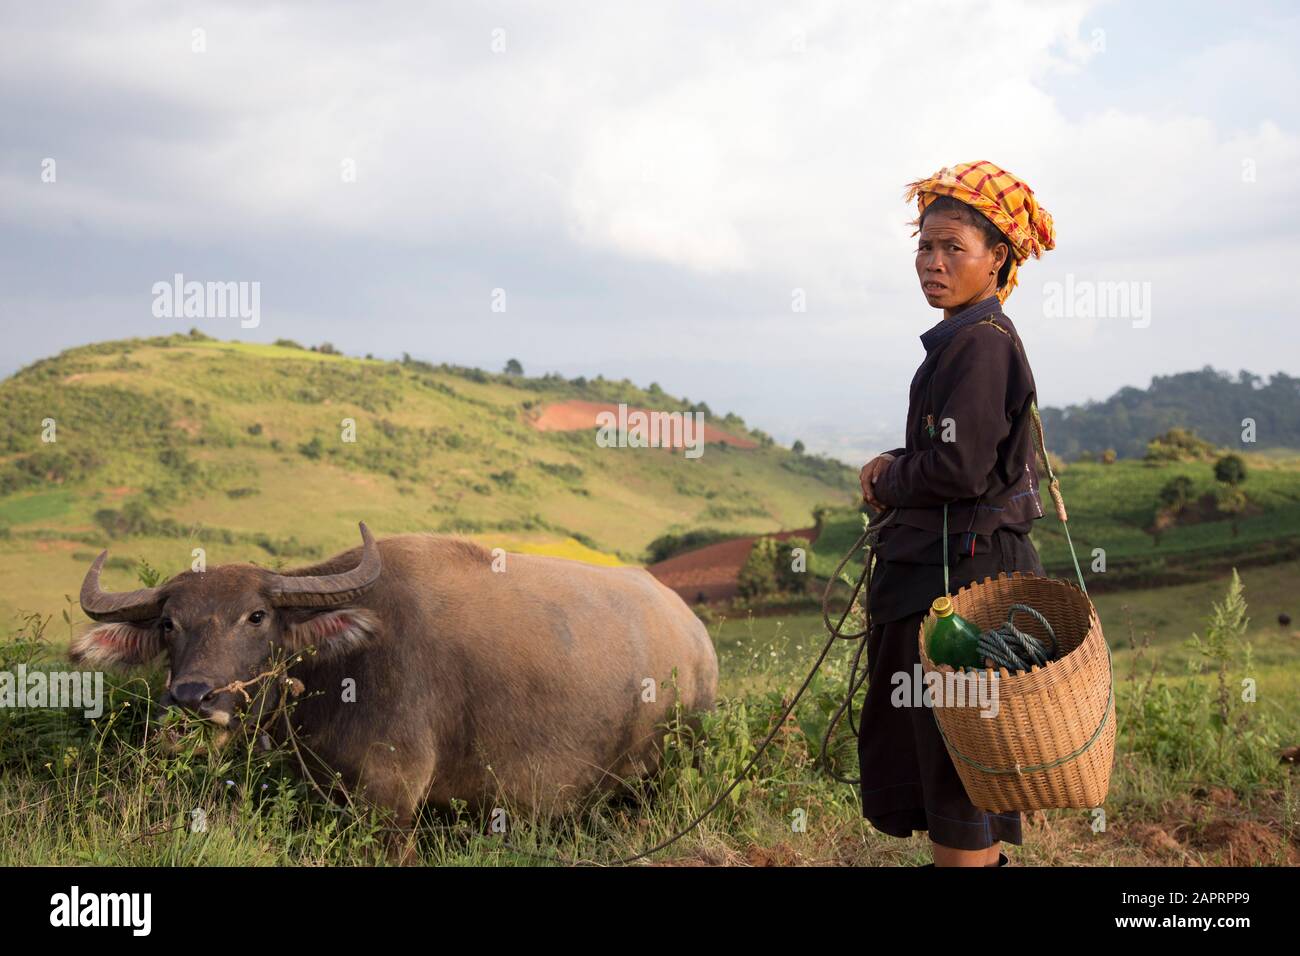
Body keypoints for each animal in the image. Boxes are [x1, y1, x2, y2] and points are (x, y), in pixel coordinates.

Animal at [68, 528, 722, 832]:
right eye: (169, 624)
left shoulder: (391, 799)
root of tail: (696, 638)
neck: (342, 668)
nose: (192, 697)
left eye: (255, 616)